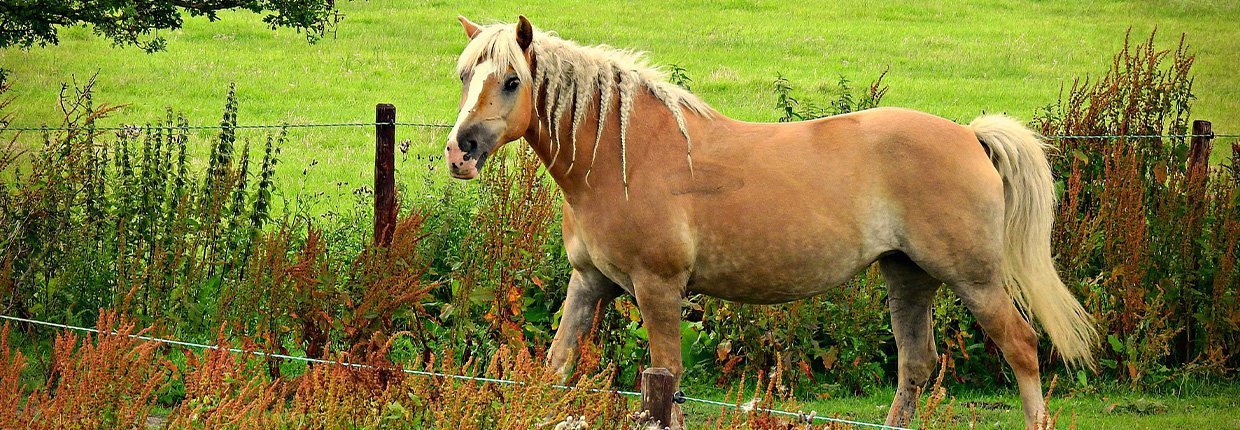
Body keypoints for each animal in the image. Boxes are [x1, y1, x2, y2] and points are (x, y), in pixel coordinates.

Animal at [443, 15, 1096, 428]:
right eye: (464, 76)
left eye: (512, 80)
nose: (460, 151)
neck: (623, 156)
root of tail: (968, 135)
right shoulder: (589, 284)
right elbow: (554, 369)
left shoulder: (658, 289)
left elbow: (667, 379)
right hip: (907, 277)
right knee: (917, 365)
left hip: (975, 279)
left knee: (1022, 348)